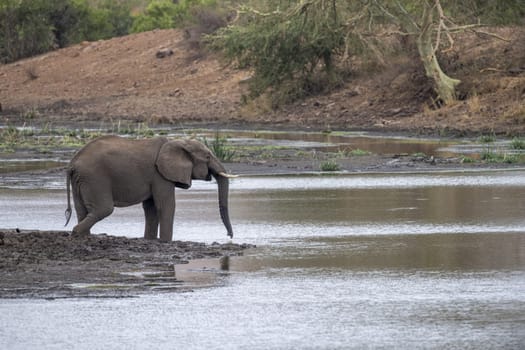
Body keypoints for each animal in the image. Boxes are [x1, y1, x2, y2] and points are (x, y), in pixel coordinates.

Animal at [65, 135, 235, 242]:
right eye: (207, 157)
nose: (229, 236)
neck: (177, 142)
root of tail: (73, 163)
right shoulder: (160, 174)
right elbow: (166, 206)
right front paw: (166, 242)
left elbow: (151, 208)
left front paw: (150, 240)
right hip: (95, 178)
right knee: (103, 209)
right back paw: (76, 233)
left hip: (81, 180)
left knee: (82, 210)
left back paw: (84, 237)